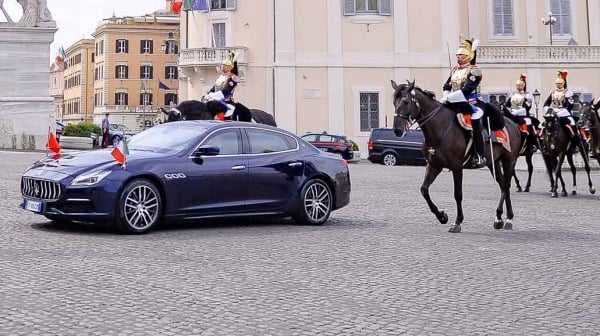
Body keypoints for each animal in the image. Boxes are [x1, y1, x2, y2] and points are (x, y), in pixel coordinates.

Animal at [390, 80, 520, 234]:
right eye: (394, 102)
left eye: (405, 101)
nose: (397, 130)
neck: (440, 127)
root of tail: (512, 124)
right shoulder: (434, 165)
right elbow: (424, 190)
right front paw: (442, 216)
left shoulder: (457, 167)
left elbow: (458, 194)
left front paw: (457, 222)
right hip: (492, 162)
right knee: (503, 186)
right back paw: (500, 218)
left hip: (508, 161)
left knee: (506, 185)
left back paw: (507, 218)